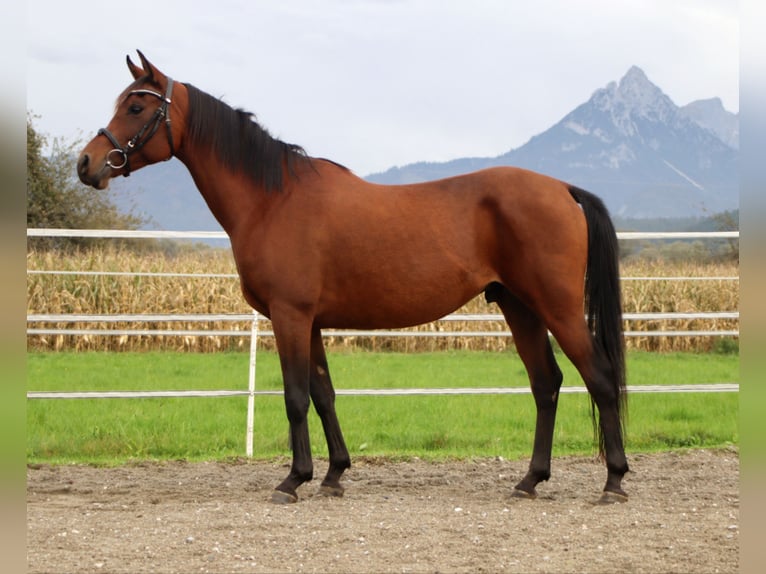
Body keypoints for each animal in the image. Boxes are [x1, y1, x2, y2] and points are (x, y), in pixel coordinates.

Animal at [78, 51, 632, 506]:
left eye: (136, 107)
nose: (86, 164)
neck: (272, 200)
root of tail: (563, 189)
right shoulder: (311, 322)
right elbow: (323, 395)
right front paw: (333, 475)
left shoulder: (289, 316)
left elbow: (295, 397)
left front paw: (292, 480)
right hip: (520, 307)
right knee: (547, 383)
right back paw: (531, 480)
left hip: (557, 307)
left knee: (599, 378)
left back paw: (613, 481)